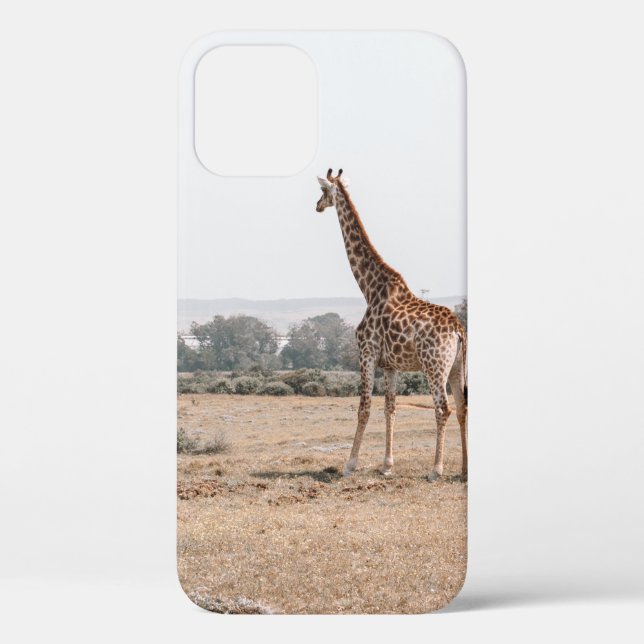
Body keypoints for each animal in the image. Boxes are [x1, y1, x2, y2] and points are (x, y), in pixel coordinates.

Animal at [315, 169, 467, 481]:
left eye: (323, 191)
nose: (316, 206)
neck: (369, 287)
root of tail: (459, 330)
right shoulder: (391, 365)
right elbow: (390, 408)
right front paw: (387, 465)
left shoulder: (366, 353)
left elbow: (364, 407)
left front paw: (350, 464)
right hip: (458, 366)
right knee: (462, 408)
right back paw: (464, 469)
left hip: (434, 366)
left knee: (442, 409)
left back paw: (436, 469)